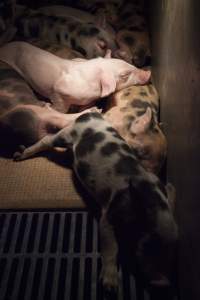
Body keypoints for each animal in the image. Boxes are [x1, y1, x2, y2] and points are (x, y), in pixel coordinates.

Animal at [0, 41, 151, 112]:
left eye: (127, 63)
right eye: (124, 75)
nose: (148, 73)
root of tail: (4, 47)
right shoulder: (58, 92)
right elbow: (60, 108)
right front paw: (49, 107)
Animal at [14, 111, 178, 292]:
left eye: (173, 250)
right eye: (148, 243)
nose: (163, 283)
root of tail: (91, 114)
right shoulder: (108, 213)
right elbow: (111, 248)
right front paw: (110, 286)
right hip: (66, 134)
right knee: (47, 139)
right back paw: (19, 156)